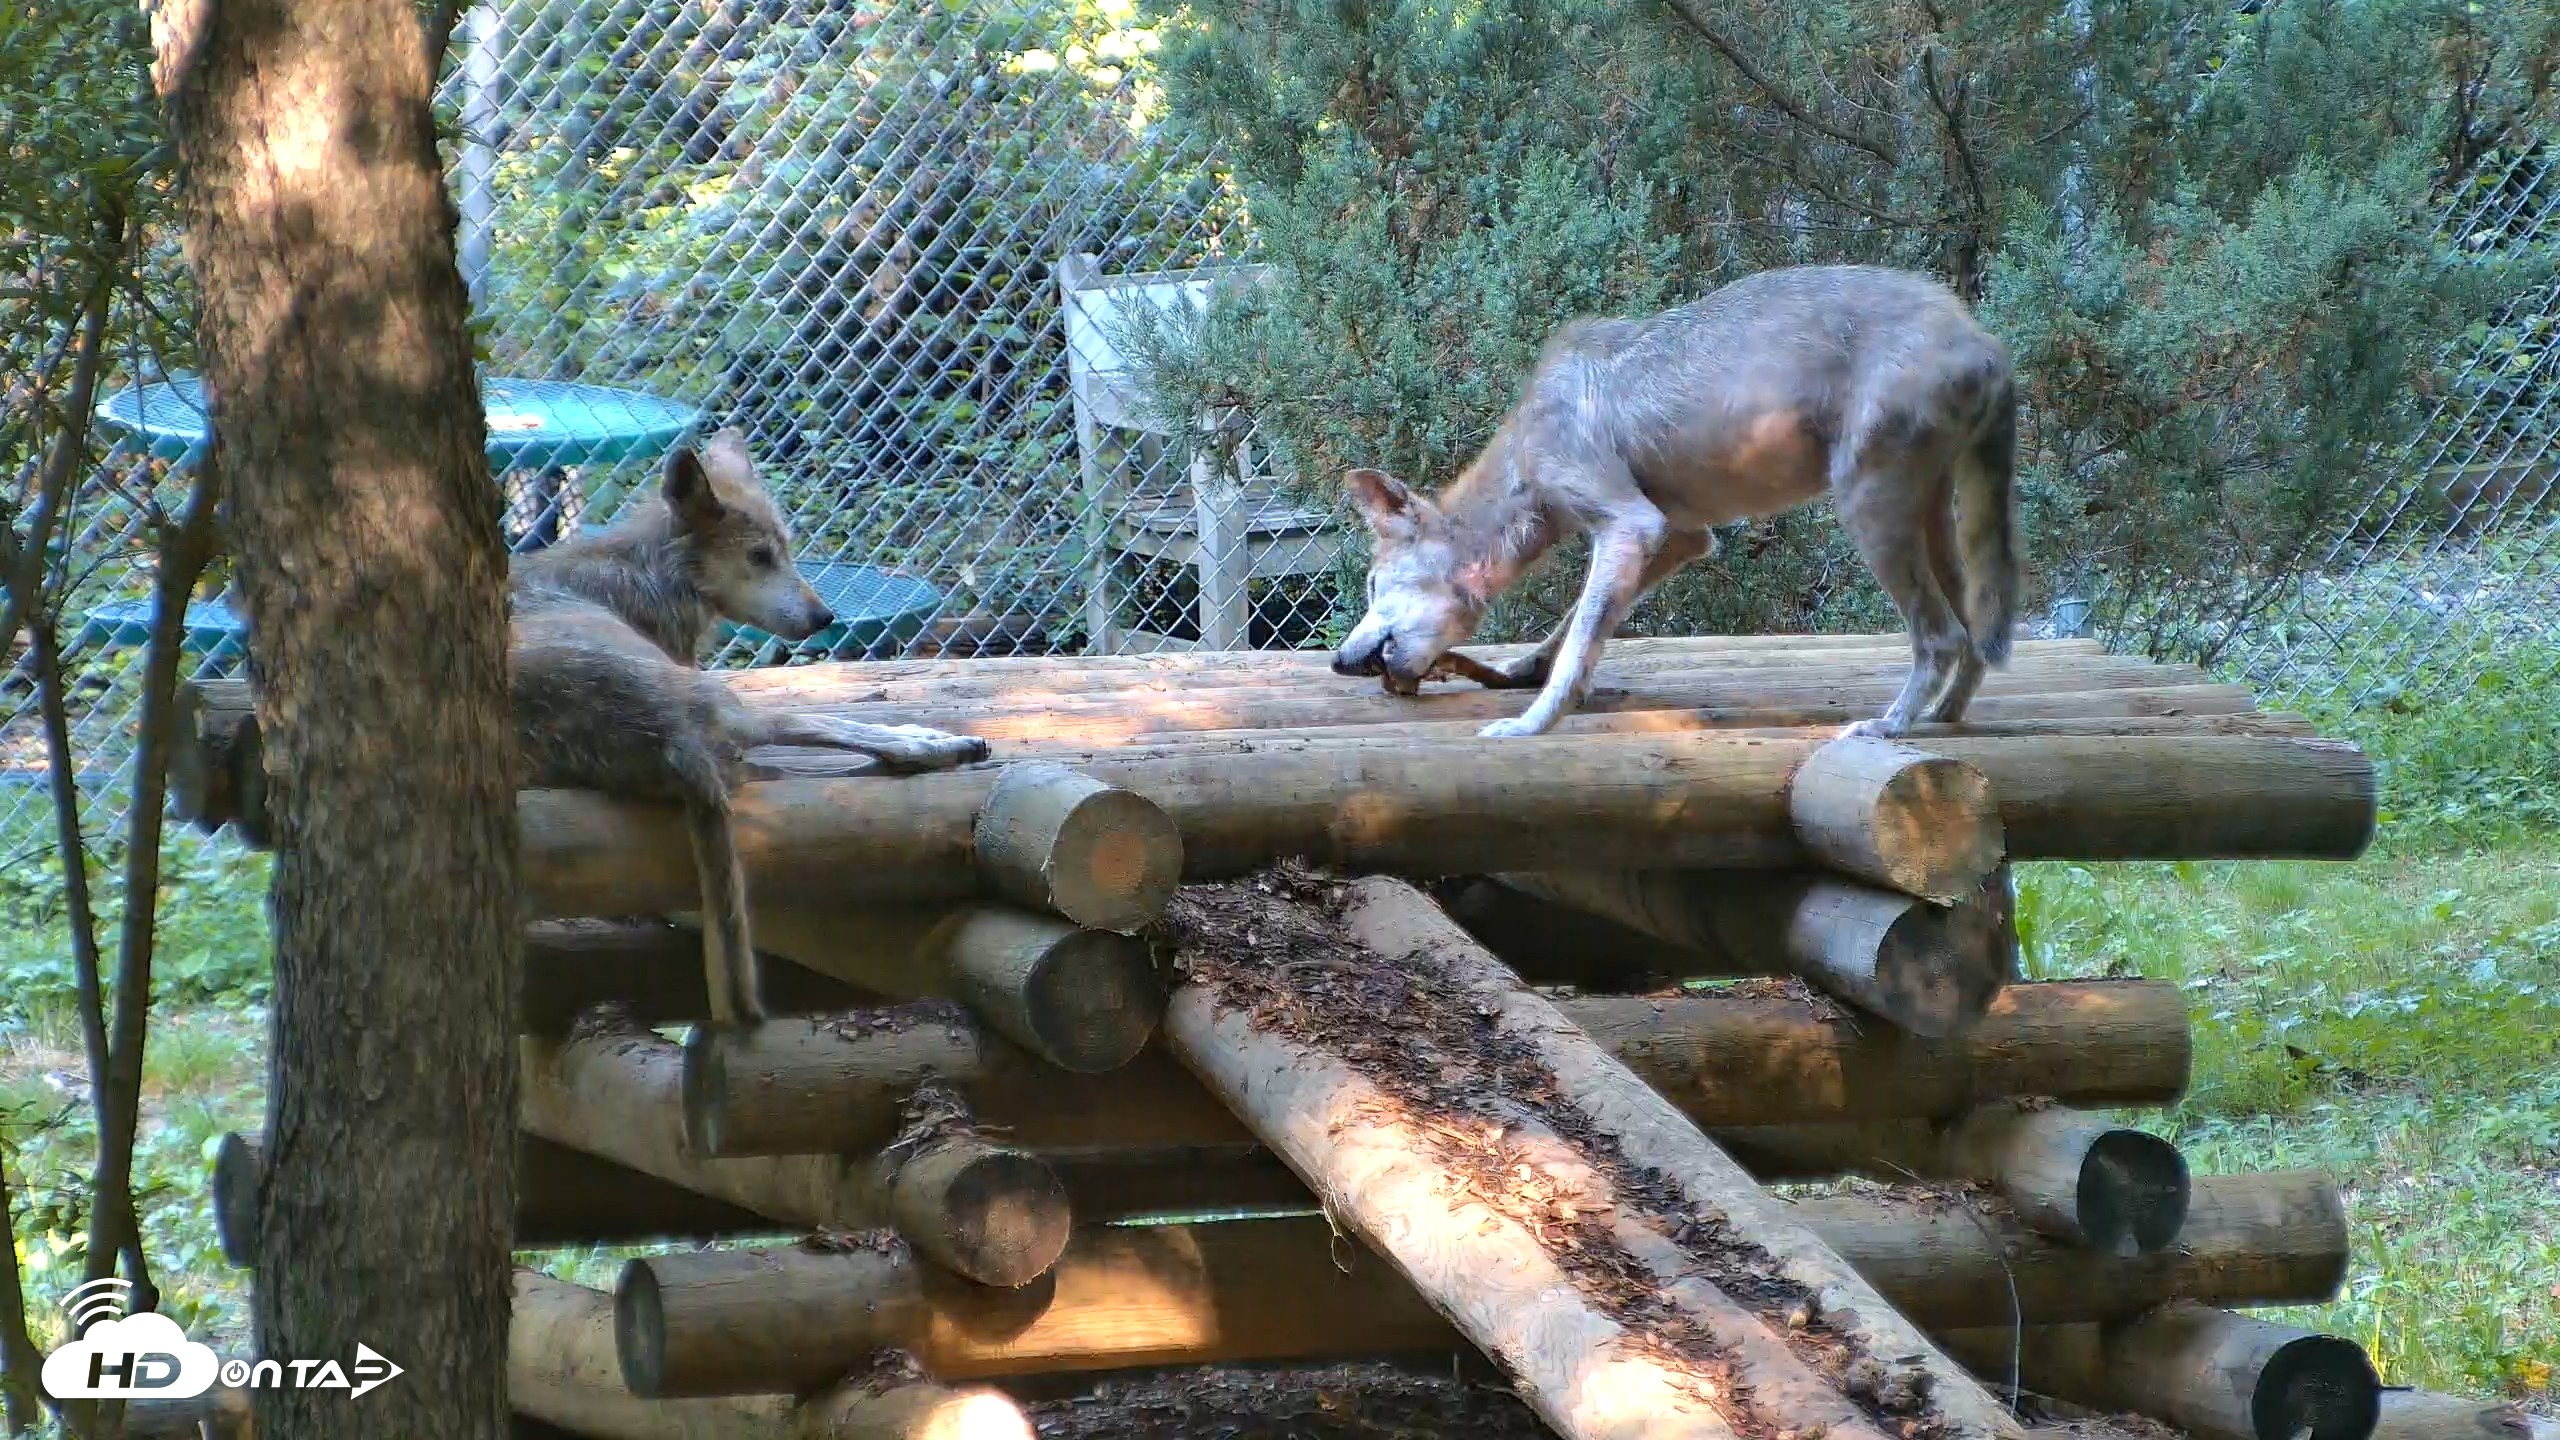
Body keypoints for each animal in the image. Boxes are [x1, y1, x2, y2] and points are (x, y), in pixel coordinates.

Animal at [510, 428, 989, 1030]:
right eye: (760, 556)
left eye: (787, 548)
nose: (825, 618)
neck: (644, 576)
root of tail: (675, 745)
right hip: (726, 703)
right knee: (810, 725)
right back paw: (933, 743)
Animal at [1329, 264, 2019, 741]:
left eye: (1370, 586)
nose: (1339, 661)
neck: (1527, 450)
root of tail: (1985, 342)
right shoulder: (1681, 536)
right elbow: (1572, 626)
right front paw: (1524, 669)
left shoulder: (1631, 525)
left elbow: (1579, 643)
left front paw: (1531, 724)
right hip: (1935, 521)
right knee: (1973, 633)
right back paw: (1945, 716)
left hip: (1868, 513)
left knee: (1941, 636)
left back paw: (1890, 726)